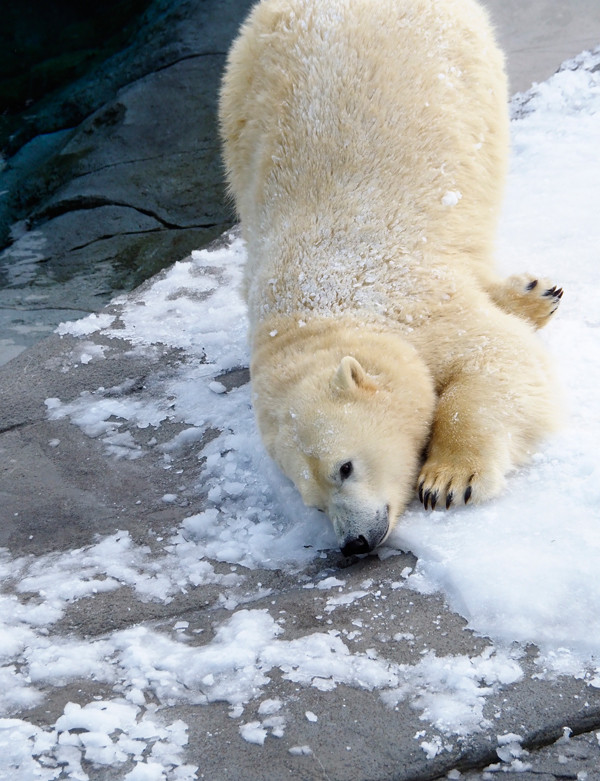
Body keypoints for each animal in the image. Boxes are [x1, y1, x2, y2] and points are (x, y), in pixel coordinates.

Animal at [220, 0, 564, 556]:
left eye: (344, 467)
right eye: (312, 502)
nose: (355, 543)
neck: (316, 306)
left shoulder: (416, 304)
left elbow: (497, 358)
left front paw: (448, 479)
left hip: (468, 68)